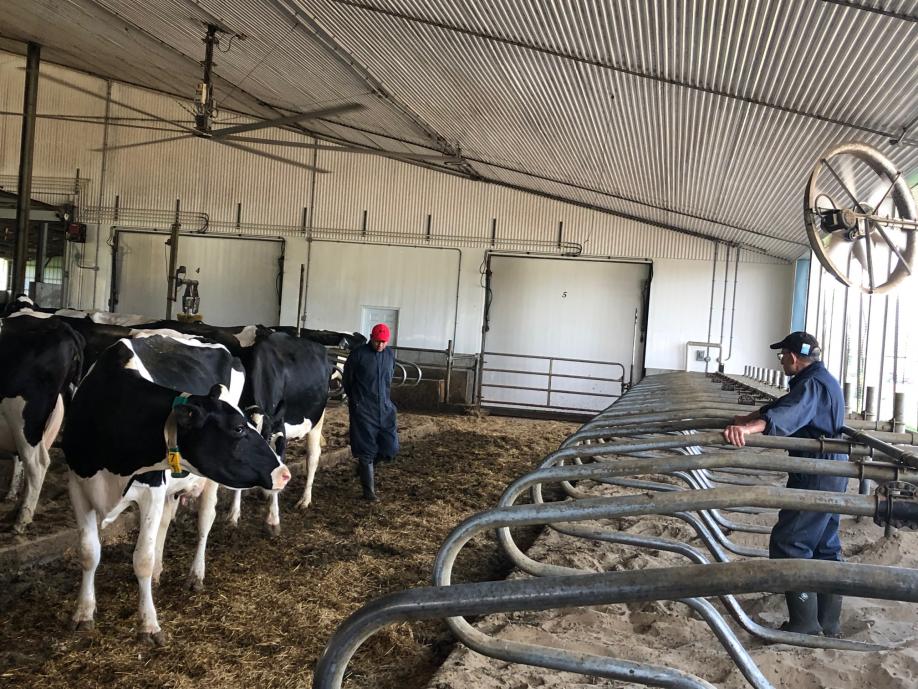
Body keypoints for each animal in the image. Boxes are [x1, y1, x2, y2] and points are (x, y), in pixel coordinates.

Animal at [63, 334, 292, 640]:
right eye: (238, 428)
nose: (284, 473)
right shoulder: (78, 486)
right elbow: (89, 553)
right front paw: (84, 612)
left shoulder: (151, 489)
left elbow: (142, 558)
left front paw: (148, 623)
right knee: (164, 522)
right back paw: (160, 572)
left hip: (208, 482)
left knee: (205, 521)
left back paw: (196, 574)